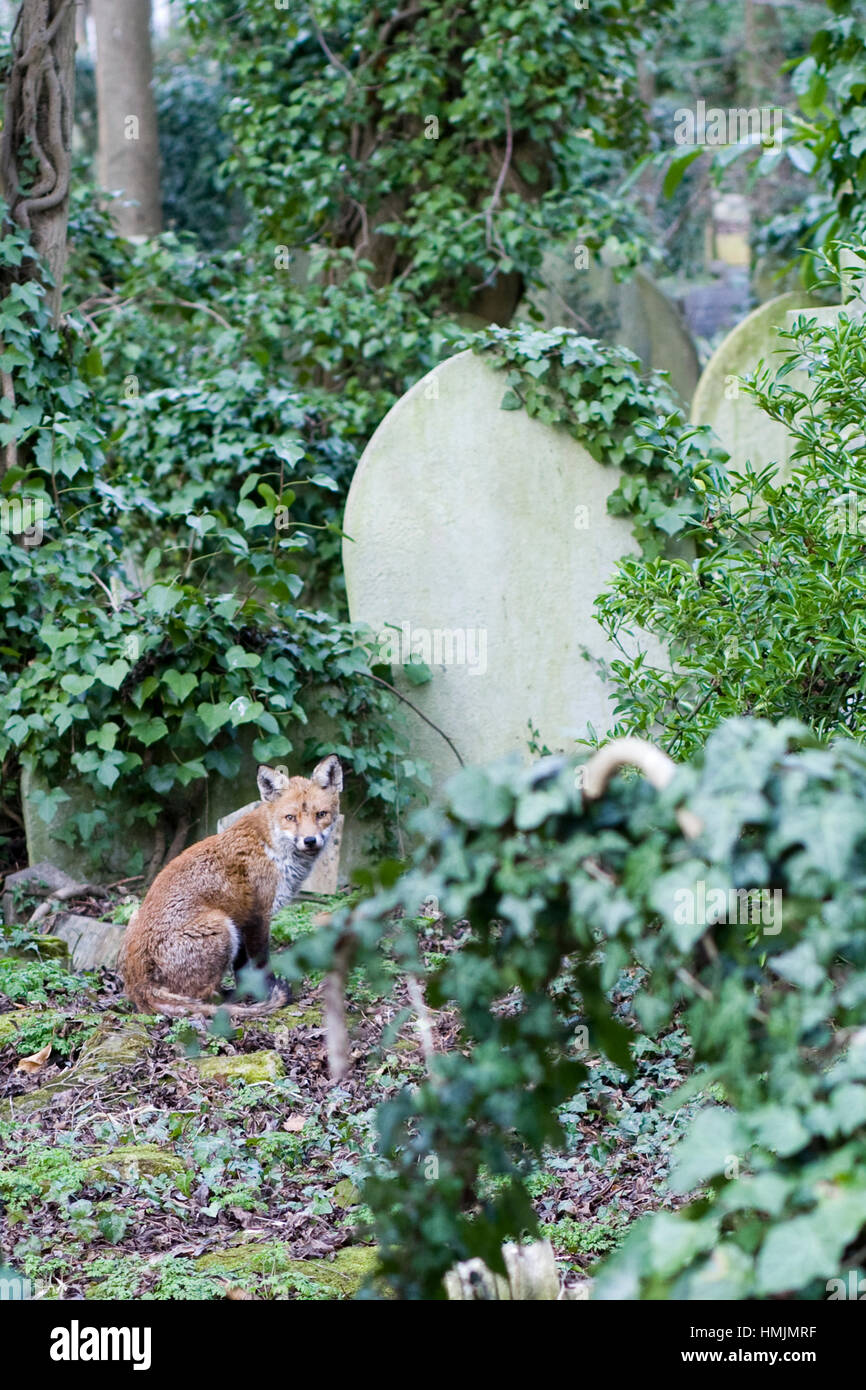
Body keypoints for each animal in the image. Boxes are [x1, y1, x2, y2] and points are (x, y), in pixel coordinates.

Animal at [120, 761, 341, 1023]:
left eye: (321, 814)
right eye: (290, 817)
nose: (309, 840)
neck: (272, 847)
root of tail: (139, 987)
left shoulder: (242, 918)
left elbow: (242, 969)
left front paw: (253, 993)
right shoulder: (258, 916)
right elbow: (261, 965)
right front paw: (268, 994)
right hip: (221, 925)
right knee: (200, 996)